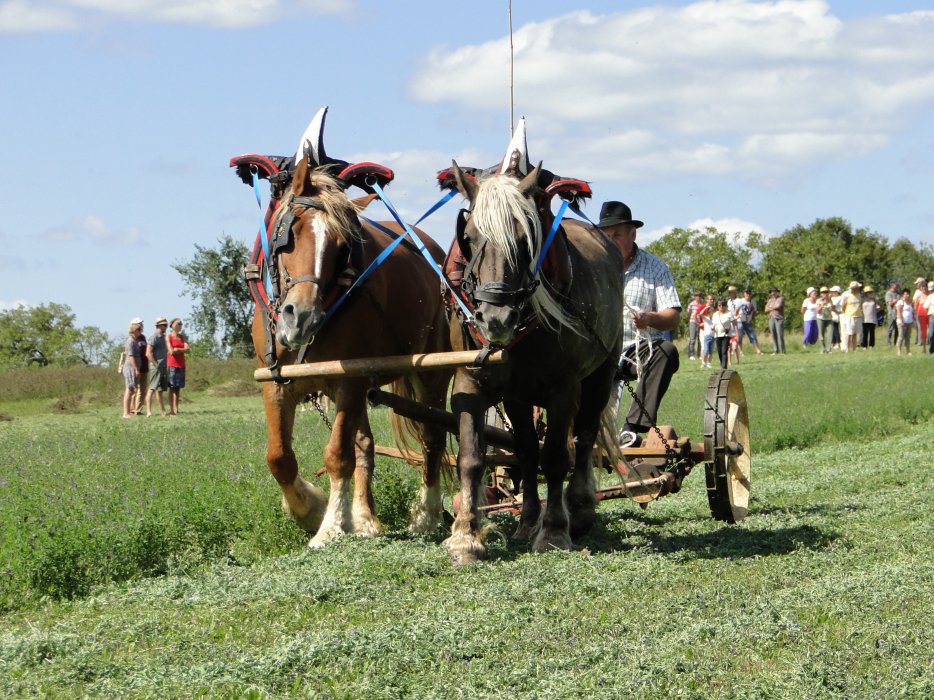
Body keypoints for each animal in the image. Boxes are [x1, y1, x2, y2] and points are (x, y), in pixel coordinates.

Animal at [245, 124, 454, 548]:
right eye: (290, 232)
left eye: (342, 246)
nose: (302, 317)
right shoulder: (275, 381)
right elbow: (280, 458)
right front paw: (311, 509)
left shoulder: (349, 380)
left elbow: (337, 454)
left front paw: (327, 527)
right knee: (367, 446)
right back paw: (365, 518)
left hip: (432, 371)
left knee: (432, 437)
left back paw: (426, 516)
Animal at [442, 157, 624, 564]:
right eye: (469, 237)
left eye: (525, 240)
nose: (496, 319)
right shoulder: (469, 382)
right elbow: (472, 458)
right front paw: (466, 536)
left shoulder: (563, 390)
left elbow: (555, 457)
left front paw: (554, 531)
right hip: (518, 396)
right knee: (525, 451)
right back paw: (526, 522)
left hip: (600, 376)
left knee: (584, 437)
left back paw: (580, 508)